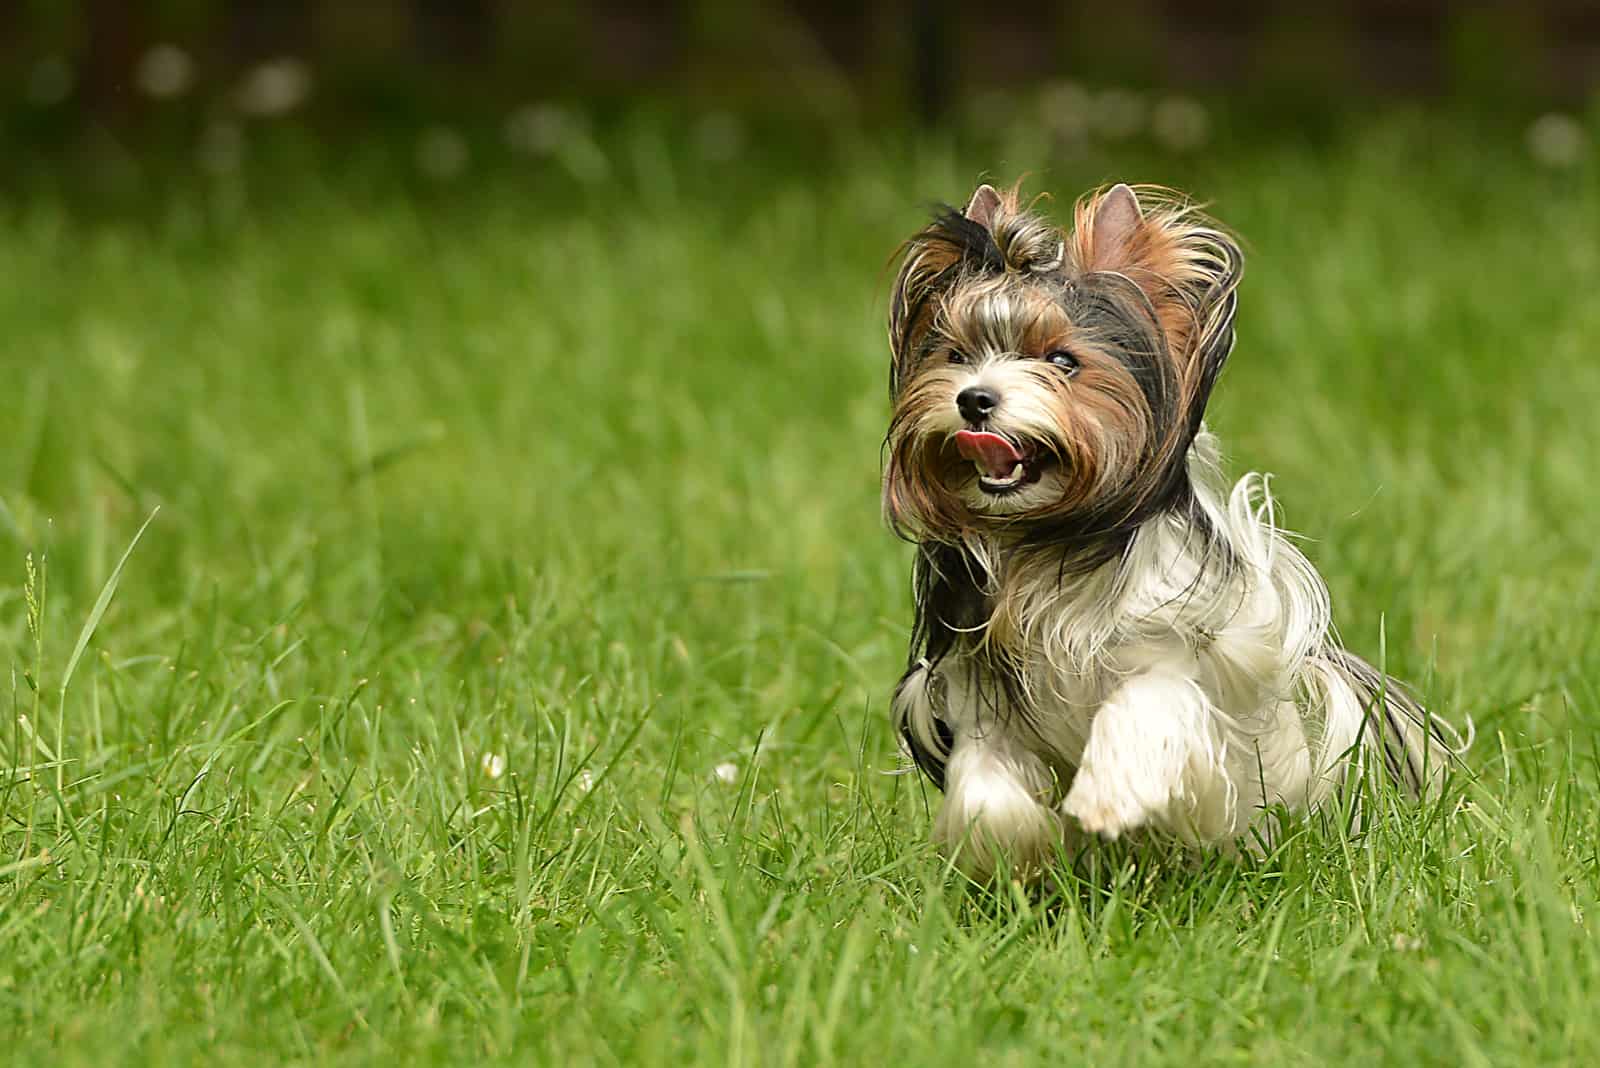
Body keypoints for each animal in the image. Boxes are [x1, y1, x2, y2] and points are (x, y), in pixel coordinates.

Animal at [883, 181, 1465, 882]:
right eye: (956, 355)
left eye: (1062, 360)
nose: (974, 399)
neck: (1049, 541)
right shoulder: (977, 691)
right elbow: (986, 784)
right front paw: (1008, 855)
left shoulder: (1176, 651)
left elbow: (1143, 703)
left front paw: (1105, 801)